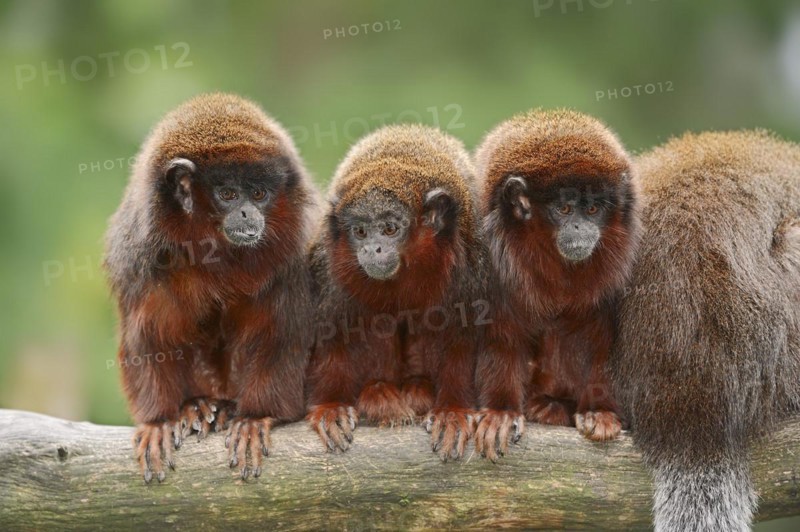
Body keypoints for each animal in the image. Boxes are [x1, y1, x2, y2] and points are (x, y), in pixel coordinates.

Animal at [104, 93, 319, 482]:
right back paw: (199, 406)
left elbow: (281, 334)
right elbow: (149, 338)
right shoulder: (142, 255)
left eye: (260, 194)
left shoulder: (292, 255)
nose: (249, 214)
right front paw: (160, 420)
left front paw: (256, 417)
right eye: (229, 194)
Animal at [305, 124, 489, 461]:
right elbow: (333, 332)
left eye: (390, 229)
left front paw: (452, 410)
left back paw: (418, 388)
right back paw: (379, 393)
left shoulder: (473, 261)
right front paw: (330, 407)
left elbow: (462, 338)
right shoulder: (329, 266)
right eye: (360, 232)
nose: (371, 249)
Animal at [472, 109, 640, 460]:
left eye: (593, 209)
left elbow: (602, 339)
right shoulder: (491, 264)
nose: (581, 226)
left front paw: (600, 411)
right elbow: (500, 336)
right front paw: (501, 411)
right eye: (564, 209)